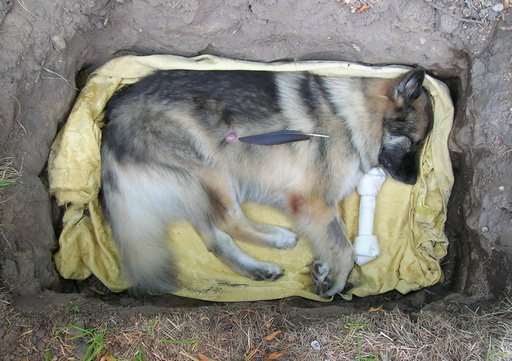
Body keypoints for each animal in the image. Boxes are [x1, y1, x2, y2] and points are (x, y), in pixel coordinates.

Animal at [99, 66, 432, 296]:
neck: (348, 116)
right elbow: (345, 249)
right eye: (414, 143)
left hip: (195, 189)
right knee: (229, 221)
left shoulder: (318, 209)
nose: (414, 180)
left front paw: (324, 268)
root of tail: (112, 121)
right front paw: (336, 280)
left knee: (217, 240)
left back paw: (258, 269)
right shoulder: (313, 203)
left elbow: (333, 241)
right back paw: (277, 238)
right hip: (213, 172)